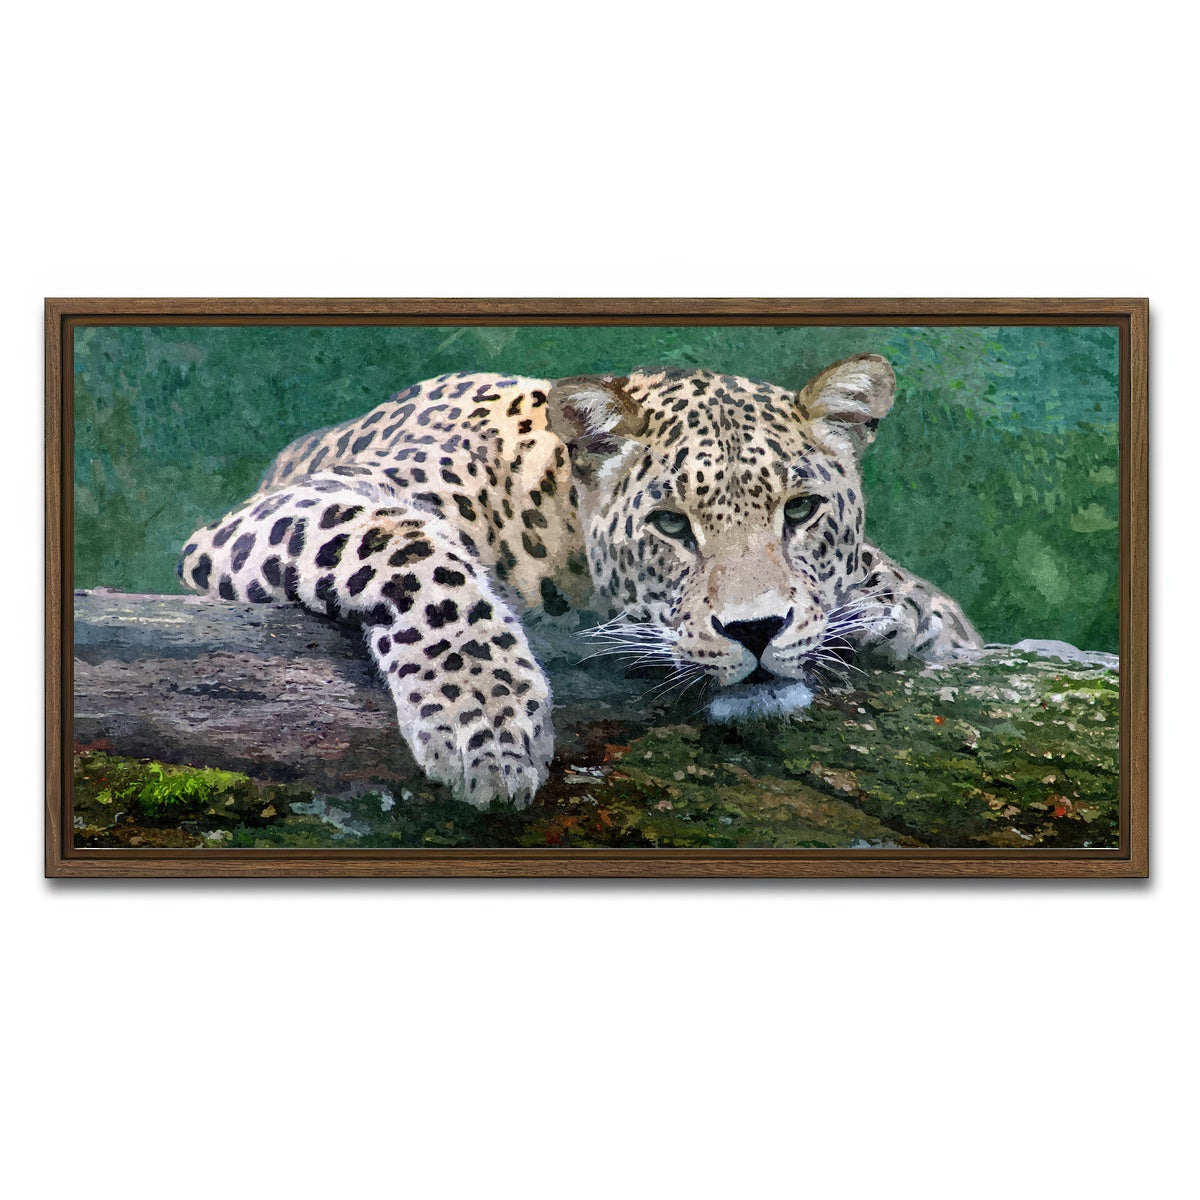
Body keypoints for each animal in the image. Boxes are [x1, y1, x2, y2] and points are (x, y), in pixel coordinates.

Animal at [179, 353, 982, 808]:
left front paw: (899, 611)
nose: (755, 631)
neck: (556, 522)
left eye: (802, 510)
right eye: (670, 525)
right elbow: (413, 552)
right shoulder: (291, 507)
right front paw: (487, 726)